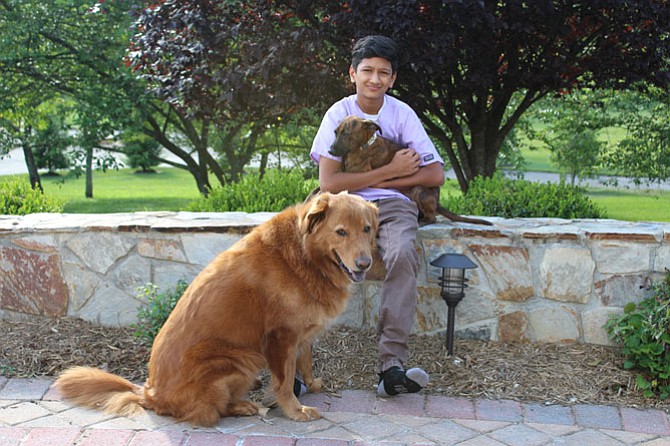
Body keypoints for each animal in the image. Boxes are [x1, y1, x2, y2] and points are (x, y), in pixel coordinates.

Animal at [53, 191, 378, 426]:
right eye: (340, 232)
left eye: (367, 229)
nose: (365, 264)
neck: (304, 255)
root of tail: (150, 393)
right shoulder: (280, 336)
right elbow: (285, 382)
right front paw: (295, 411)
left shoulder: (302, 333)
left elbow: (306, 361)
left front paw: (312, 383)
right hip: (240, 358)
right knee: (209, 413)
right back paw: (244, 406)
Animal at [330, 115, 494, 226]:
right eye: (335, 132)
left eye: (346, 133)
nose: (330, 151)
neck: (363, 145)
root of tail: (438, 202)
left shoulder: (358, 172)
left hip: (419, 190)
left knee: (433, 218)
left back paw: (422, 221)